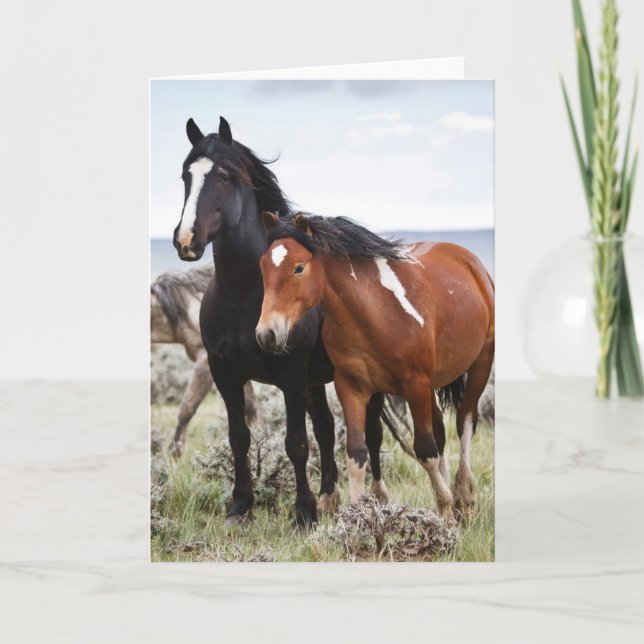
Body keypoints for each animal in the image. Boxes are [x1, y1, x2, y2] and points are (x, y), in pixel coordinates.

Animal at [172, 117, 402, 526]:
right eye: (186, 175)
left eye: (224, 176)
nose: (186, 240)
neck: (246, 294)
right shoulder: (224, 372)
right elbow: (239, 437)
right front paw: (240, 506)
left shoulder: (291, 374)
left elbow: (296, 443)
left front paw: (302, 514)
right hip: (316, 381)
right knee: (326, 428)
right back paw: (329, 497)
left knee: (371, 432)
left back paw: (375, 498)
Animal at [256, 212, 495, 519]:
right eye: (263, 266)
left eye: (299, 267)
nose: (267, 334)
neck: (376, 313)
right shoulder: (352, 388)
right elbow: (357, 454)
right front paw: (356, 515)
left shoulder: (415, 385)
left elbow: (425, 449)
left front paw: (445, 507)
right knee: (441, 430)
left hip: (480, 364)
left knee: (465, 421)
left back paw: (463, 495)